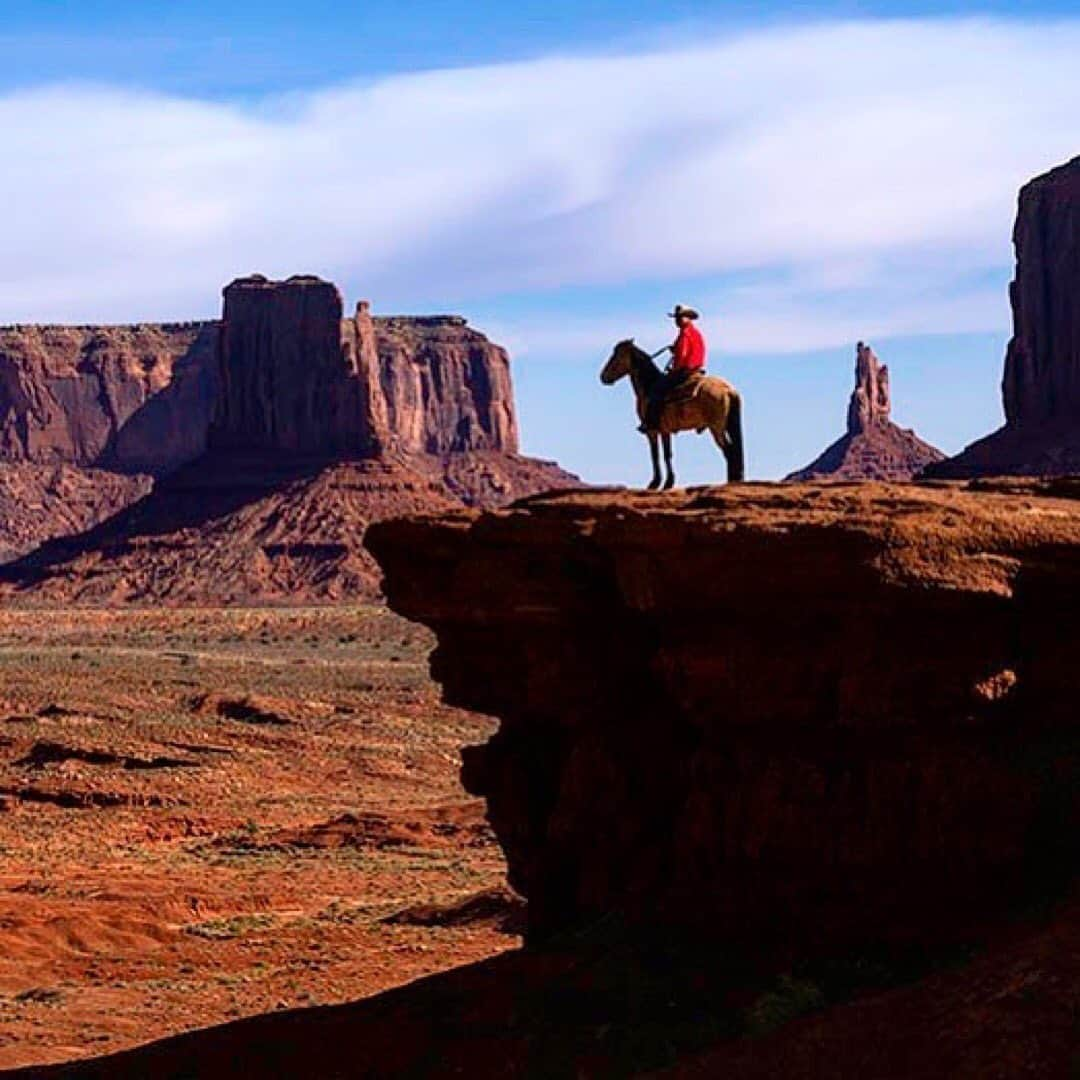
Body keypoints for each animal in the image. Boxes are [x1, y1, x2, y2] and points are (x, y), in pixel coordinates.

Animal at [600, 339, 743, 488]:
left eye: (616, 356)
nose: (603, 377)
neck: (649, 385)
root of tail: (728, 390)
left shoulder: (654, 430)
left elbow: (658, 454)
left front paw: (658, 482)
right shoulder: (665, 430)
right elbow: (666, 454)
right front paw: (667, 482)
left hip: (716, 428)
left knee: (729, 450)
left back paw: (731, 480)